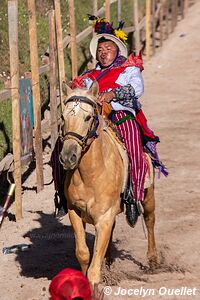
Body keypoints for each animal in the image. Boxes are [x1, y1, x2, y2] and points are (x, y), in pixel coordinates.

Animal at [59, 82, 158, 286]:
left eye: (88, 117)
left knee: (150, 220)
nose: (68, 156)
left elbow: (94, 270)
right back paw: (109, 261)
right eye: (63, 117)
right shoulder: (74, 211)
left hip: (148, 196)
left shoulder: (104, 217)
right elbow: (83, 253)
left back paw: (153, 260)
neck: (90, 175)